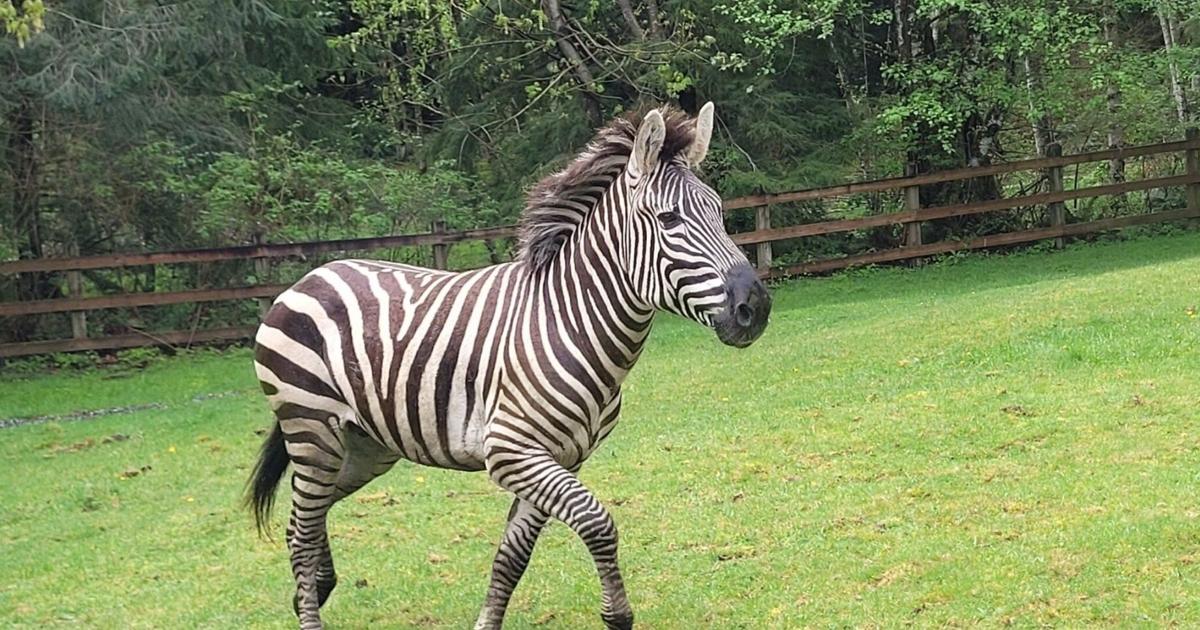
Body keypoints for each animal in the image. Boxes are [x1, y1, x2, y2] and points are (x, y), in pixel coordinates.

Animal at [246, 102, 771, 630]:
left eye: (719, 212)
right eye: (669, 219)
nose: (757, 307)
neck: (570, 322)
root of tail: (310, 276)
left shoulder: (561, 457)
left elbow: (512, 556)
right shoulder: (511, 451)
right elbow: (597, 520)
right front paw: (618, 614)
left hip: (364, 445)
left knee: (305, 517)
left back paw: (316, 587)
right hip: (312, 429)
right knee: (302, 530)